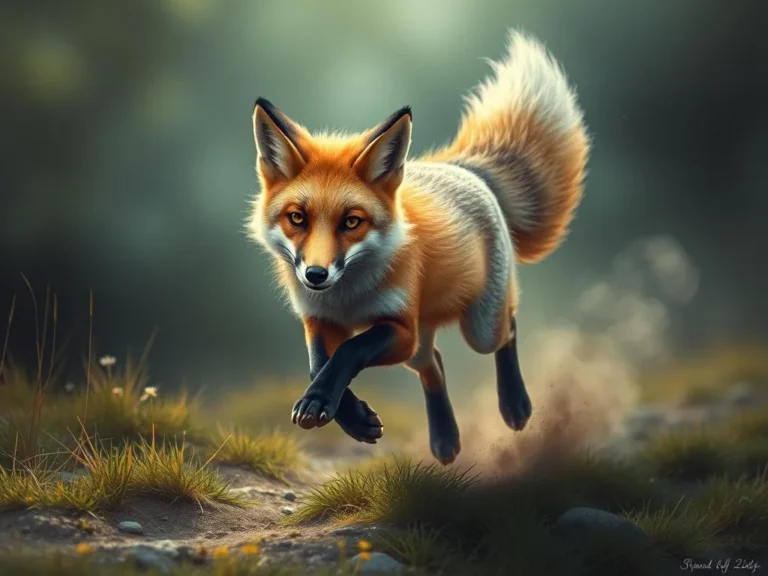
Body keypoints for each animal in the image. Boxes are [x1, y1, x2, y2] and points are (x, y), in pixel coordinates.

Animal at [247, 30, 590, 464]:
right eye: (297, 218)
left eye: (352, 222)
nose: (315, 275)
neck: (349, 299)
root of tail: (462, 168)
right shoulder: (320, 319)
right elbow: (318, 364)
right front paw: (352, 417)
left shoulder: (399, 326)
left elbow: (350, 350)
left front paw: (325, 402)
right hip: (423, 340)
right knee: (434, 365)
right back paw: (444, 439)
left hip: (478, 327)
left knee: (506, 330)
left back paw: (515, 404)